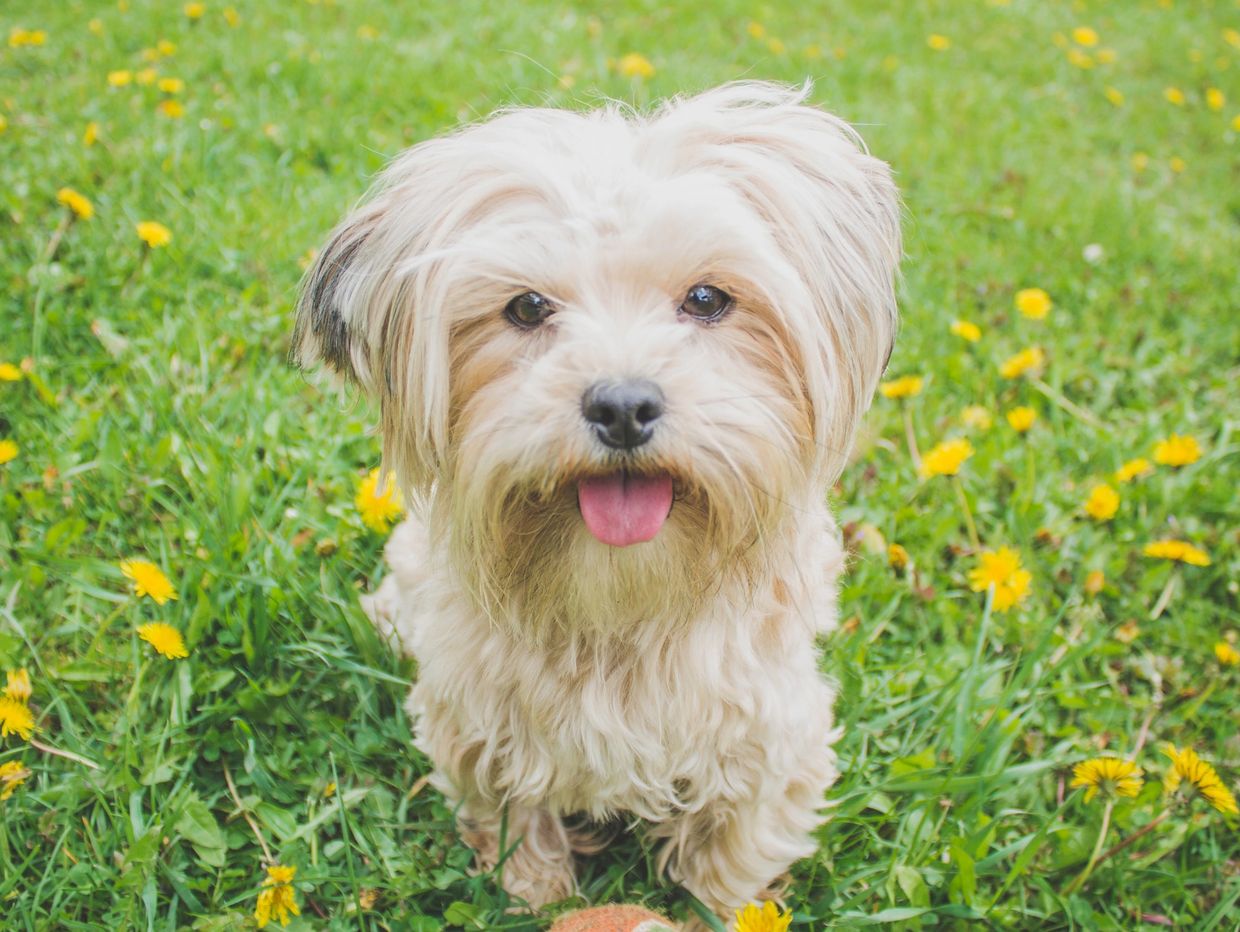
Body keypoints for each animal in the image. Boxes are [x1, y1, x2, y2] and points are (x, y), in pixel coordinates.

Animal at [295, 79, 897, 927]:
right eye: (525, 309)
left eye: (707, 298)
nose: (621, 406)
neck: (621, 609)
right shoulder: (486, 734)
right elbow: (520, 828)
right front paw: (534, 894)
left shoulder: (771, 740)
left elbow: (731, 857)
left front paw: (722, 905)